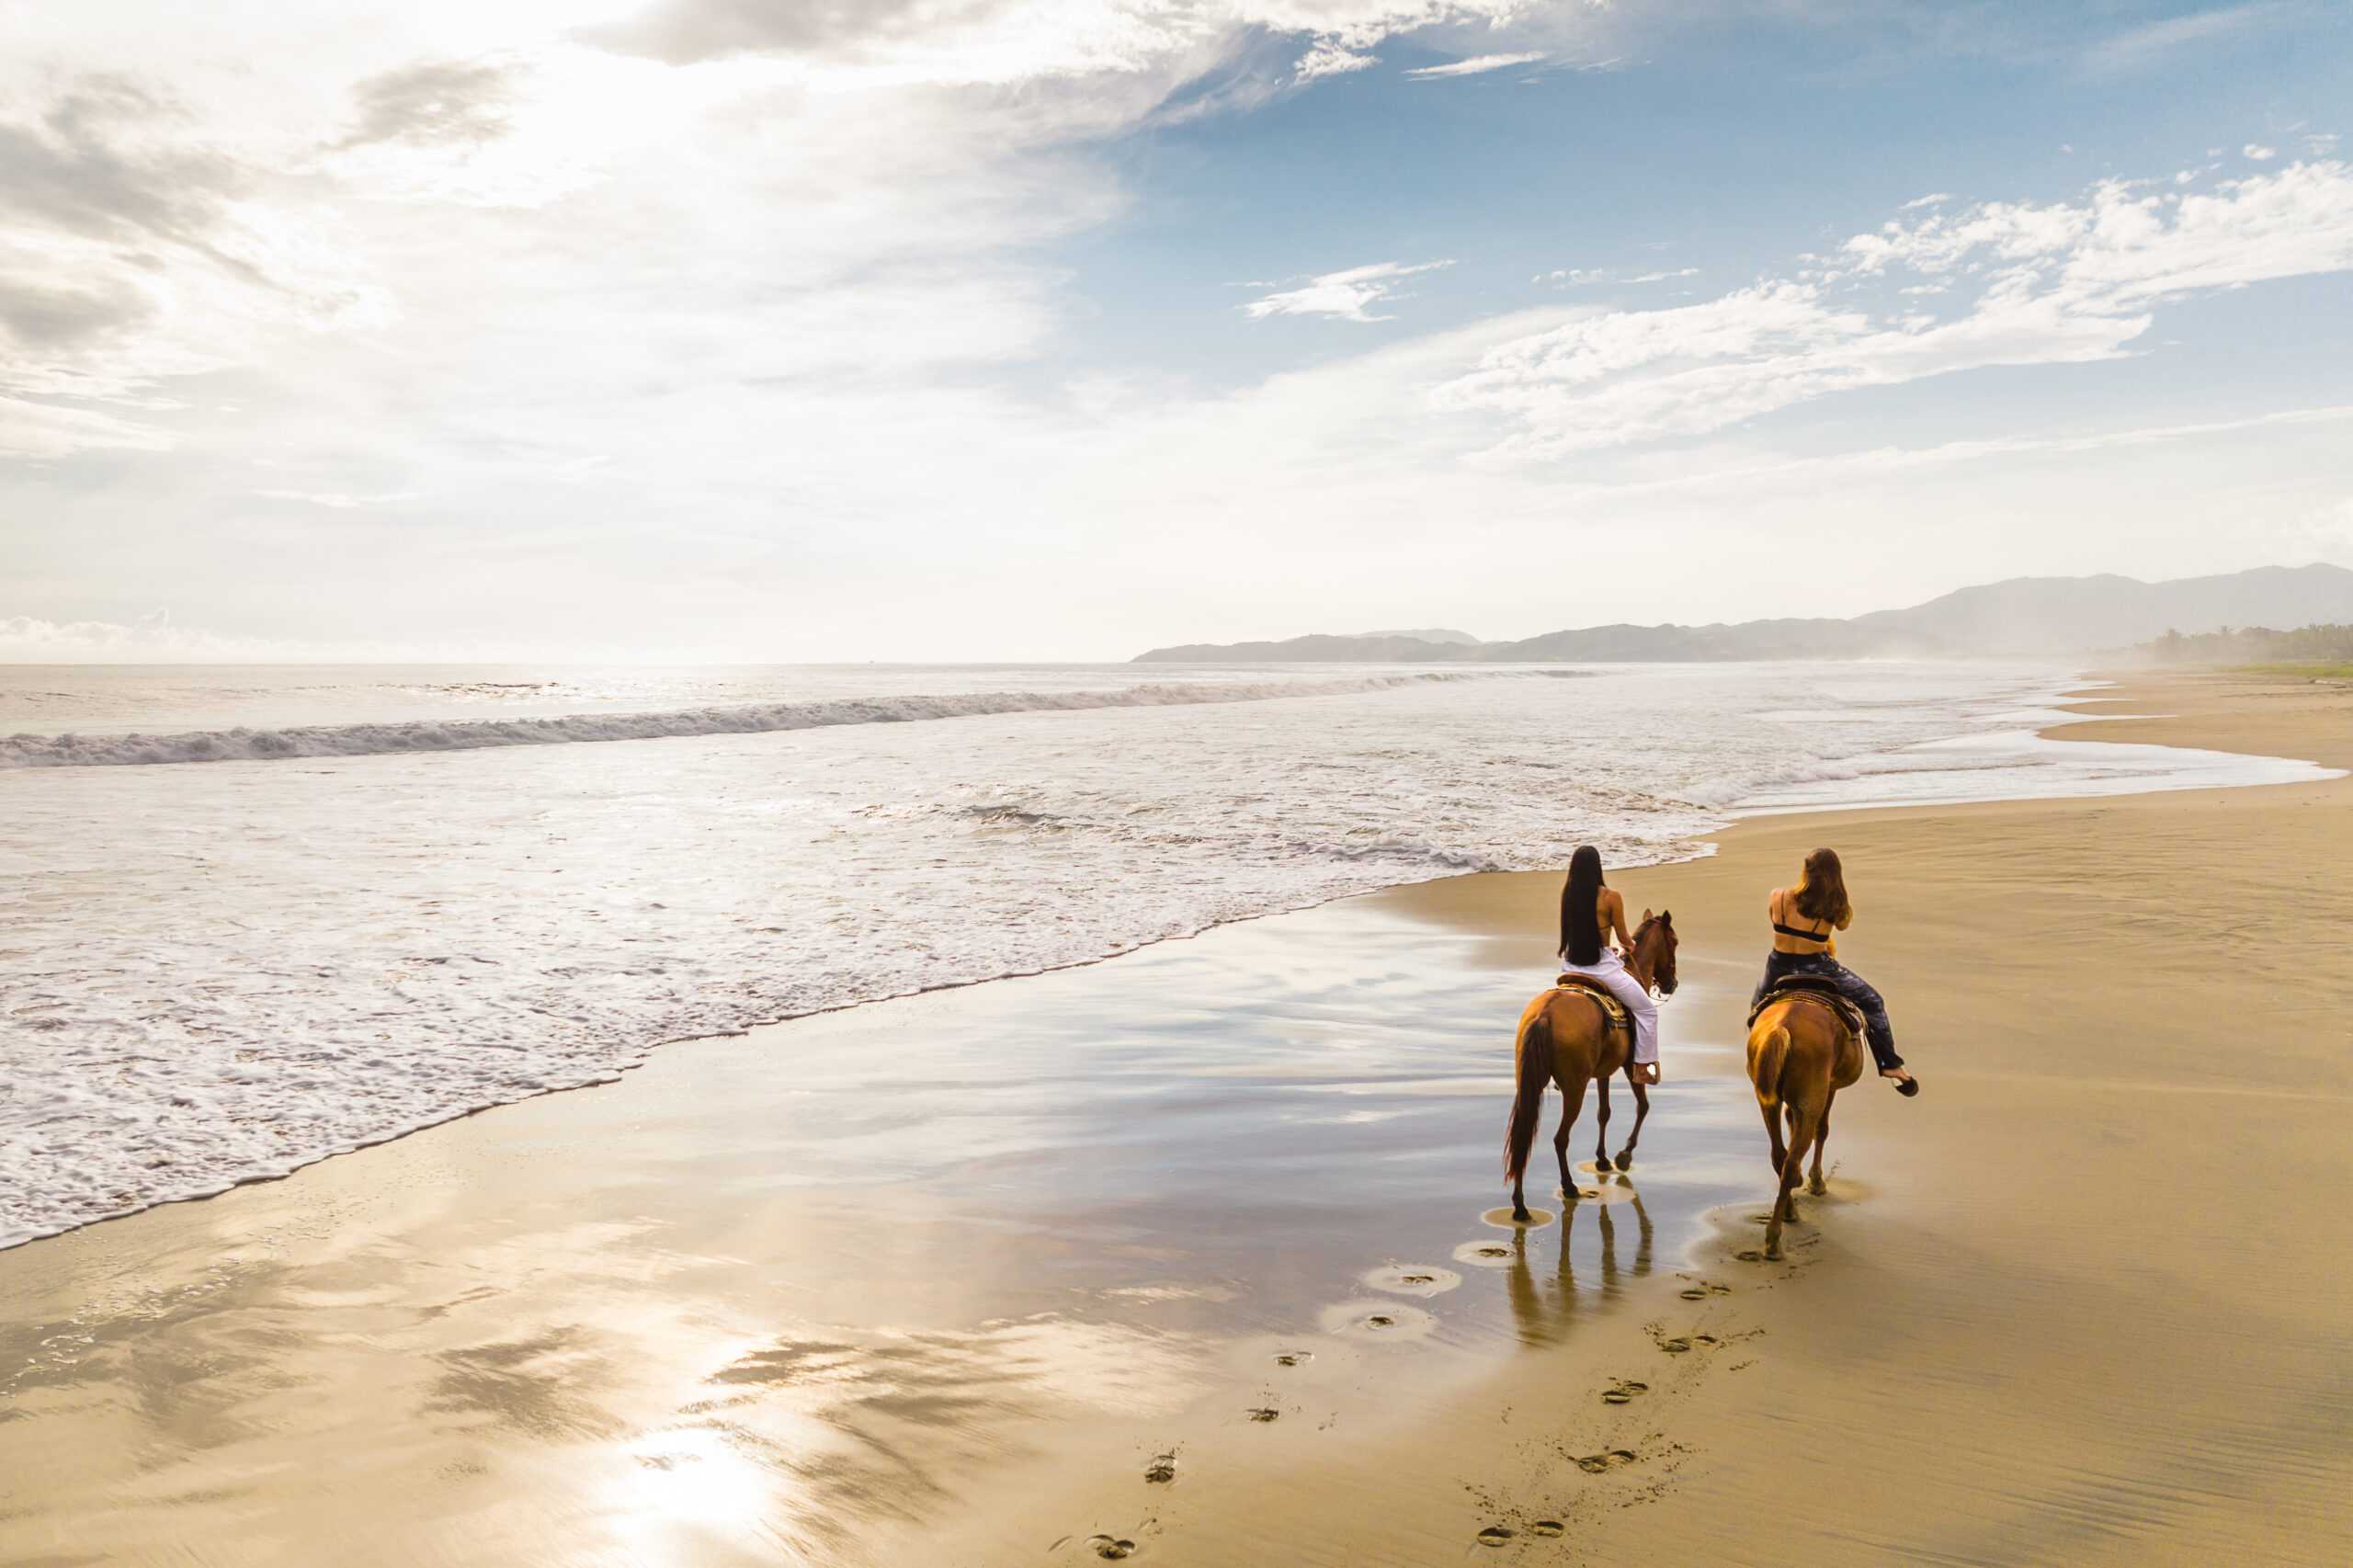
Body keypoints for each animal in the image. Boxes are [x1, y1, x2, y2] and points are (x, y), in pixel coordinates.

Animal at [1506, 903, 1675, 1224]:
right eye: (1676, 942)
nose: (1672, 983)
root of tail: (1545, 1014)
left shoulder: (1603, 1072)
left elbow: (1604, 1113)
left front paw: (1602, 1159)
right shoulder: (1630, 1067)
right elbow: (1643, 1106)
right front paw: (1623, 1156)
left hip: (1529, 1084)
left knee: (1522, 1136)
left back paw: (1520, 1206)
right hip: (1575, 1088)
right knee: (1560, 1138)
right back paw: (1569, 1187)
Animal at [1750, 988, 1854, 1261]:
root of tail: (1781, 1025)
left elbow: (1790, 1119)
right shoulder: (1829, 1087)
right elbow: (1823, 1129)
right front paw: (1816, 1181)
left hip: (1768, 1102)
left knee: (1779, 1156)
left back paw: (1788, 1210)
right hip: (1812, 1099)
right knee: (1793, 1158)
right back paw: (1774, 1240)